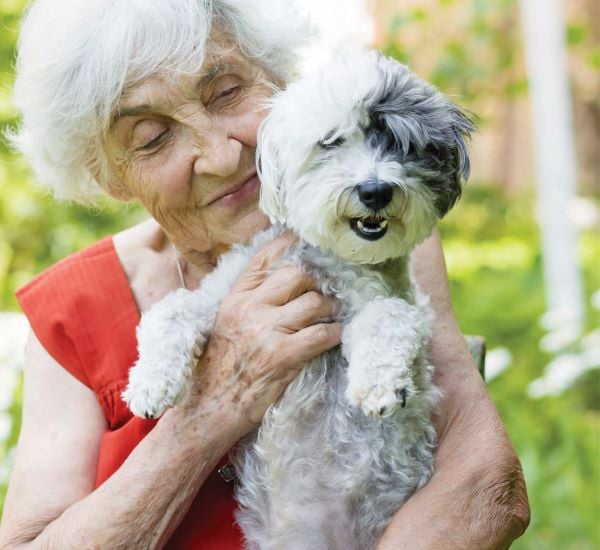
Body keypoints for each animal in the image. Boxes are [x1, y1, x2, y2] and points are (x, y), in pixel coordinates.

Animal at [123, 52, 474, 550]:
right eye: (331, 141)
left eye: (401, 144)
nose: (375, 191)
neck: (325, 258)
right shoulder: (223, 292)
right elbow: (171, 312)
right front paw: (150, 384)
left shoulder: (396, 302)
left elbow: (388, 316)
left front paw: (379, 385)